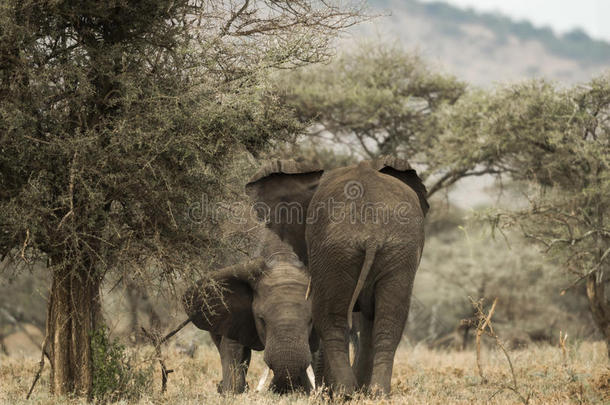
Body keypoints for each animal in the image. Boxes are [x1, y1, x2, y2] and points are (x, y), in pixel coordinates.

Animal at [245, 155, 426, 394]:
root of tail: (372, 231)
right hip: (396, 249)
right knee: (389, 320)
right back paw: (377, 393)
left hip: (335, 251)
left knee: (330, 318)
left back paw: (345, 393)